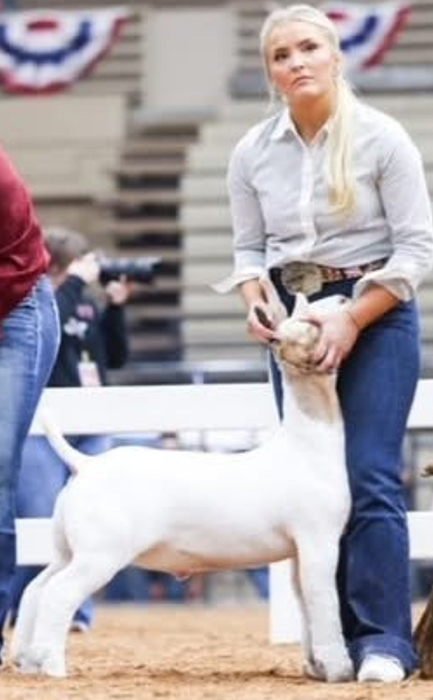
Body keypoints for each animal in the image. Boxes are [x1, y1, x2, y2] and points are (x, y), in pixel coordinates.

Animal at [10, 286, 353, 682]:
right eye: (311, 322)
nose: (345, 299)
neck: (305, 444)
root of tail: (87, 465)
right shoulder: (318, 541)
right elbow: (324, 600)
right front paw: (339, 669)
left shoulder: (298, 552)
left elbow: (304, 601)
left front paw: (314, 665)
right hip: (100, 555)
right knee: (59, 593)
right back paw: (53, 666)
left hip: (67, 550)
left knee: (36, 588)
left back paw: (28, 660)